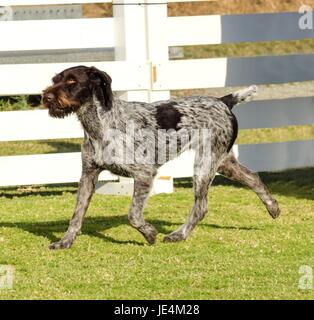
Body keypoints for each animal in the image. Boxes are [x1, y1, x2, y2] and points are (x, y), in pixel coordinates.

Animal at [41, 65, 280, 250]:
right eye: (55, 80)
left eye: (72, 81)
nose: (46, 97)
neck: (101, 125)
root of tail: (223, 100)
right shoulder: (88, 176)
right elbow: (76, 215)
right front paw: (65, 242)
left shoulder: (144, 174)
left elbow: (134, 215)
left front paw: (149, 234)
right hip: (222, 162)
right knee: (253, 177)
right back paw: (273, 207)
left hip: (204, 166)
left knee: (201, 207)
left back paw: (178, 235)